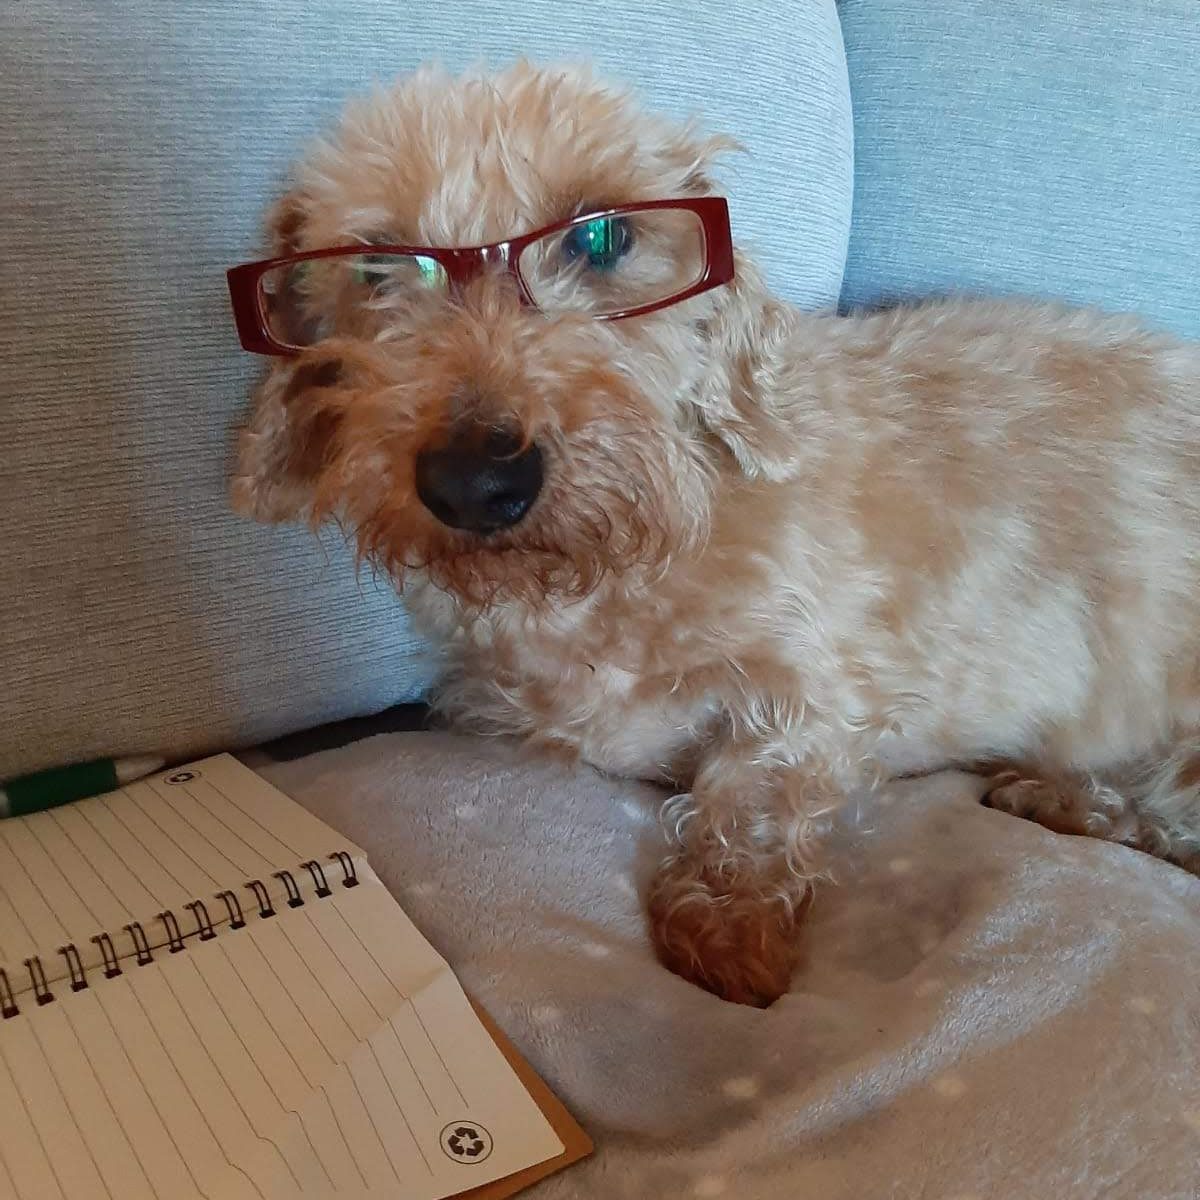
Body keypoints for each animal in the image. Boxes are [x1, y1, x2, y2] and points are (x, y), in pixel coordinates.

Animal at [229, 63, 1200, 1003]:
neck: (604, 574)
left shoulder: (831, 683)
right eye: (375, 265)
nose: (476, 482)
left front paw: (729, 923)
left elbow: (758, 779)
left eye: (602, 239)